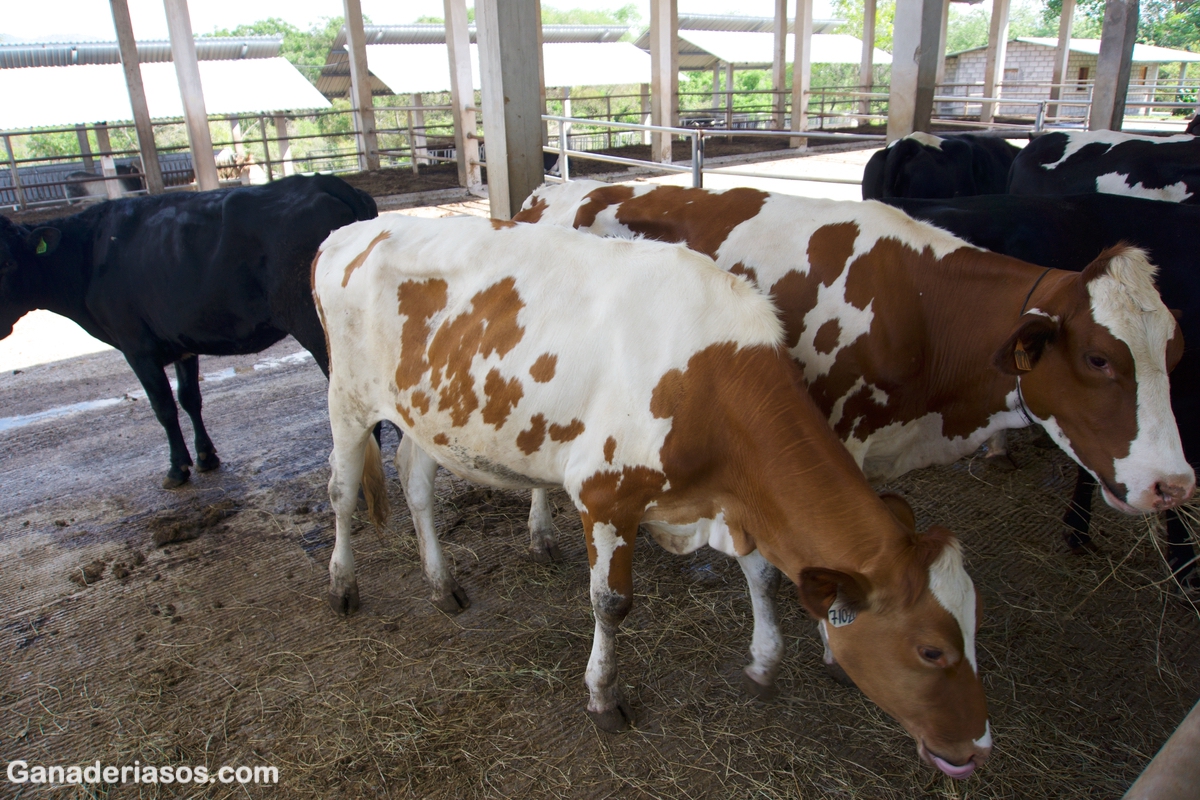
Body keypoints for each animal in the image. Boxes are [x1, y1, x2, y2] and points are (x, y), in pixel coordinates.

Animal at [1, 173, 374, 489]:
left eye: (8, 262)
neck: (90, 254)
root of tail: (327, 182)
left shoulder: (135, 345)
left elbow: (163, 406)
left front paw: (177, 468)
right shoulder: (181, 341)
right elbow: (189, 398)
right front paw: (206, 456)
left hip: (316, 329)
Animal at [312, 215, 993, 777]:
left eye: (973, 628)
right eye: (931, 650)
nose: (978, 747)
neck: (713, 381)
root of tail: (349, 231)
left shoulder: (736, 502)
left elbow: (763, 575)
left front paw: (764, 662)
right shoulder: (605, 498)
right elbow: (611, 604)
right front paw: (604, 697)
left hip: (426, 415)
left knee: (416, 483)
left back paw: (442, 583)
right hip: (347, 399)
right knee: (342, 492)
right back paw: (343, 585)